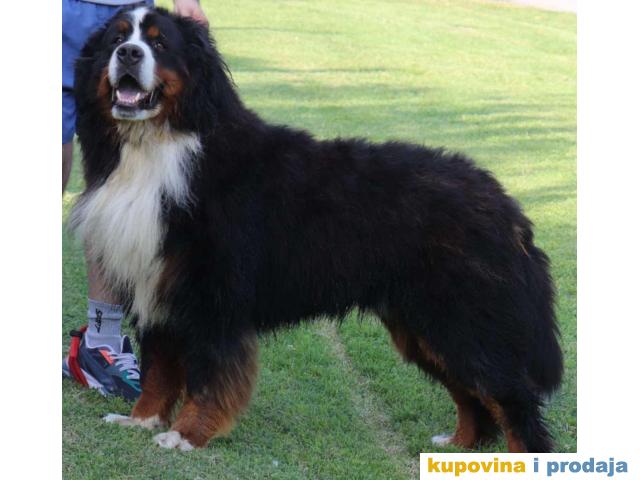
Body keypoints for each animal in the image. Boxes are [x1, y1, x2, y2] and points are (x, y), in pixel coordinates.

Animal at [71, 6, 563, 453]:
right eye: (117, 39)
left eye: (159, 44)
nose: (129, 54)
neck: (159, 149)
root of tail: (503, 200)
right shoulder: (155, 286)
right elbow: (159, 370)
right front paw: (140, 420)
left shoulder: (213, 298)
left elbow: (208, 379)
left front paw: (184, 436)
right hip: (423, 325)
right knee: (472, 396)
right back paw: (459, 442)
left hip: (461, 320)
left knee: (513, 401)